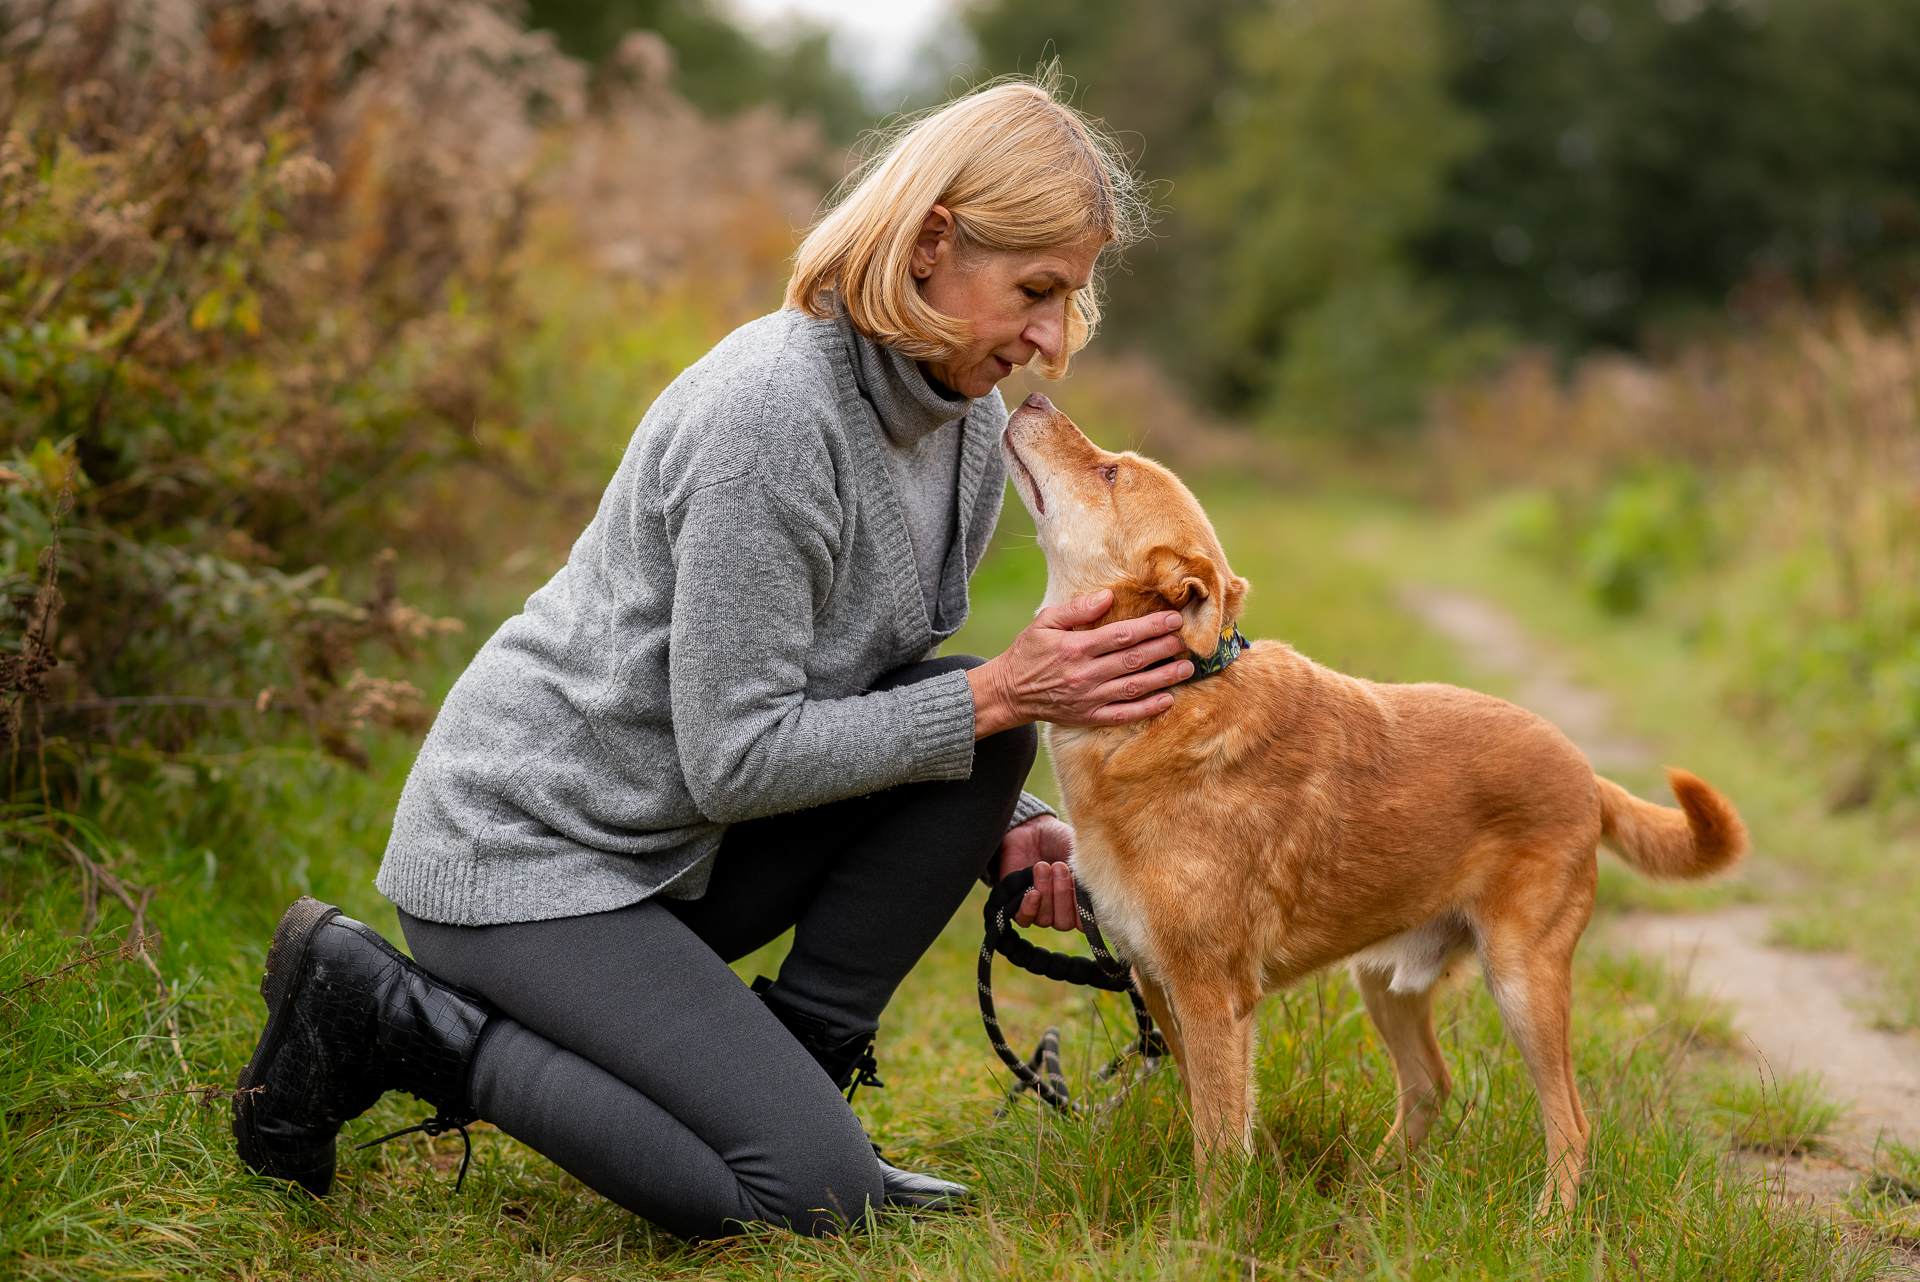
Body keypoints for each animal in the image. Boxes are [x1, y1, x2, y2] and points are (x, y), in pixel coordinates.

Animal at [1006, 391, 1758, 1212]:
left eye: (1110, 472)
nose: (1034, 395)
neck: (1166, 700)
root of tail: (1586, 772)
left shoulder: (1212, 996)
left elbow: (1218, 1145)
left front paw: (1209, 1227)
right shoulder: (1159, 983)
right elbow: (1217, 1122)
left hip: (1522, 980)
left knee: (1570, 1121)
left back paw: (1546, 1224)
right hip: (1384, 980)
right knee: (1432, 1083)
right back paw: (1366, 1194)